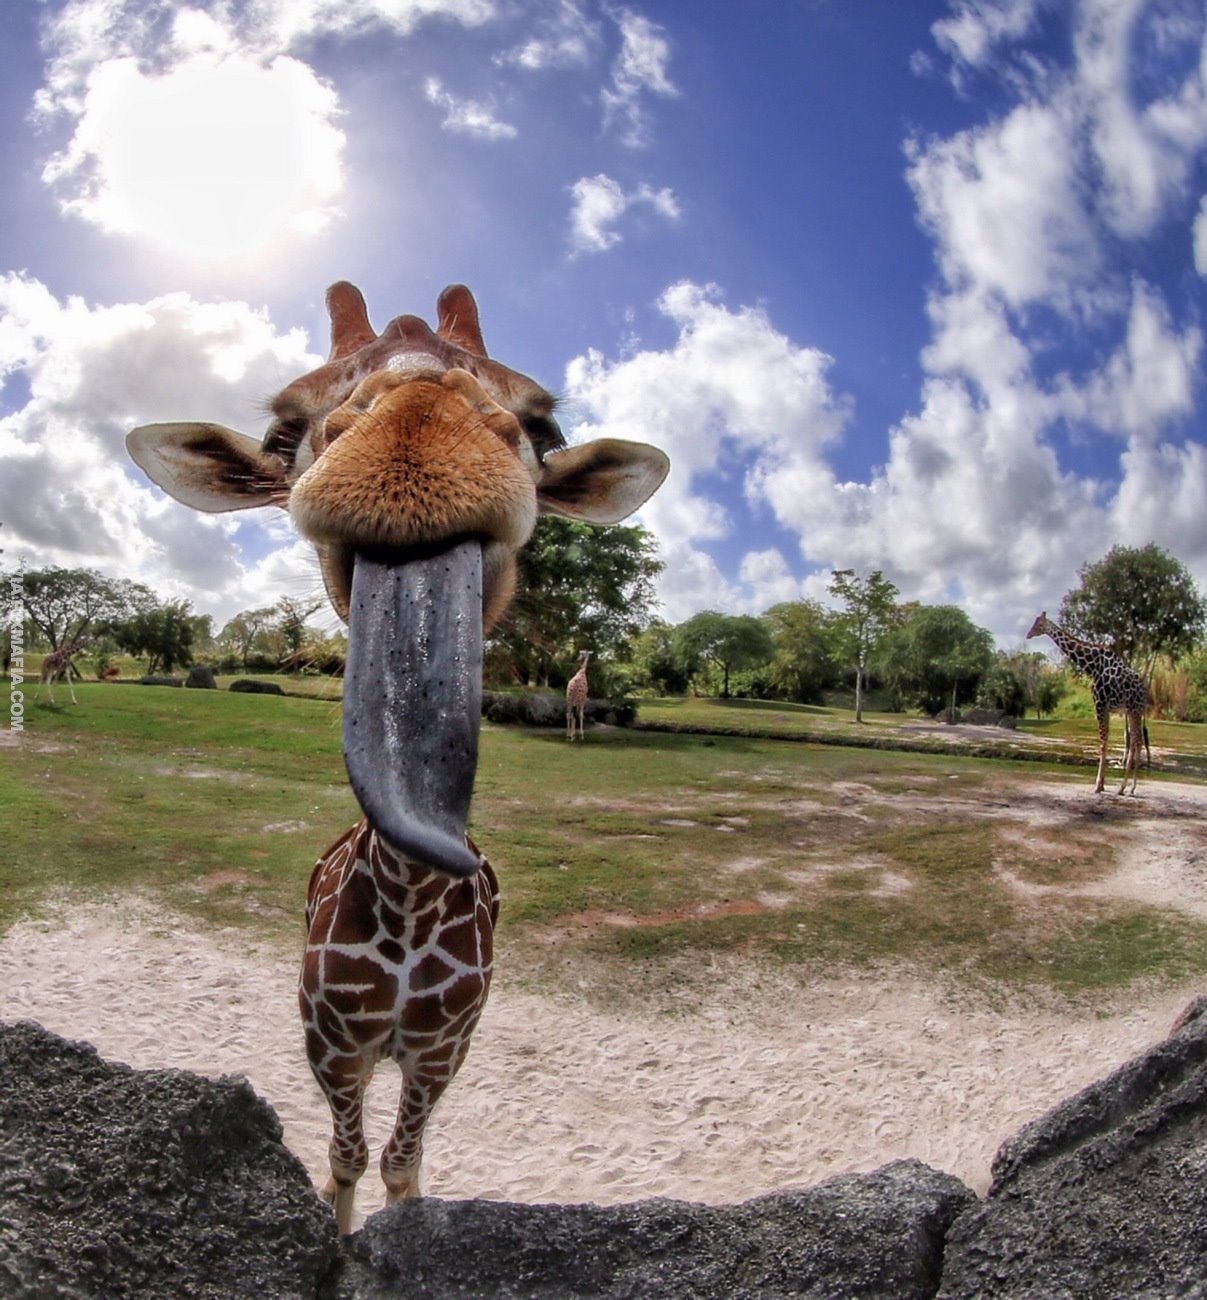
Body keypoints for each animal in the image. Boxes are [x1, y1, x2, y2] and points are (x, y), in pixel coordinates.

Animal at [128, 282, 676, 1227]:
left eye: (545, 429)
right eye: (283, 430)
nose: (415, 441)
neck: (410, 904)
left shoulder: (442, 1047)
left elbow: (401, 1164)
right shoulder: (331, 1041)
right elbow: (345, 1158)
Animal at [1030, 613, 1149, 795]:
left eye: (1038, 624)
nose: (1028, 634)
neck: (1091, 665)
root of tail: (1144, 691)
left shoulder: (1099, 703)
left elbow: (1102, 743)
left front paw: (1097, 785)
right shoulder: (1106, 707)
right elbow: (1106, 740)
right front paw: (1102, 784)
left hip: (1133, 710)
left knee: (1136, 740)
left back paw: (1123, 787)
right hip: (1135, 711)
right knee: (1139, 740)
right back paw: (1131, 788)